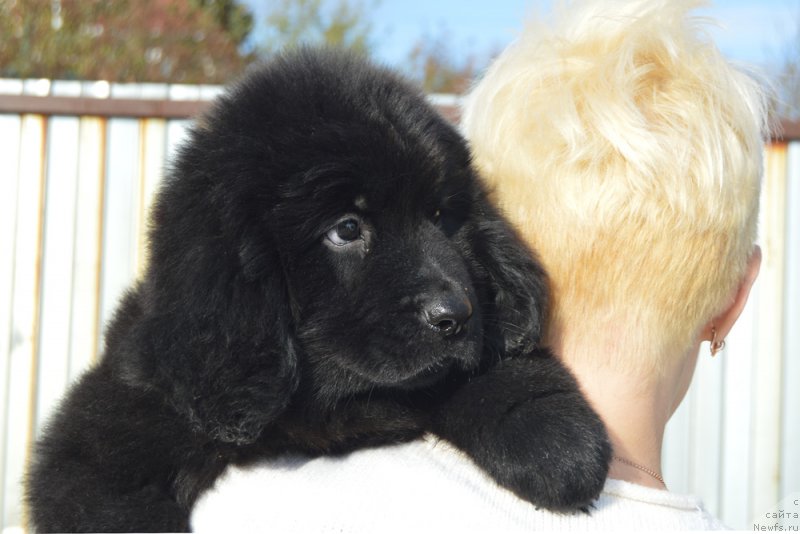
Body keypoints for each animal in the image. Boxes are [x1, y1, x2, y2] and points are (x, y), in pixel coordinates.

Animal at [28, 48, 608, 532]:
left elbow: (503, 376)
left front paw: (561, 446)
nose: (455, 316)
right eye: (347, 229)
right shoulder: (104, 441)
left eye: (442, 217)